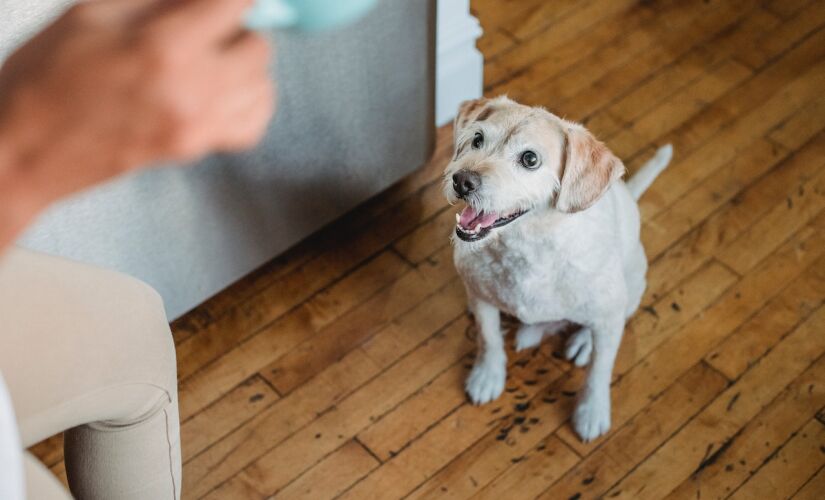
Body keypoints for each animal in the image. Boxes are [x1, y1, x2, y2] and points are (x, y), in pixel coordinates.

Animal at [444, 94, 668, 442]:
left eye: (530, 159)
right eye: (477, 139)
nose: (462, 180)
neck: (527, 247)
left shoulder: (607, 316)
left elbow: (600, 371)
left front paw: (591, 411)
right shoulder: (481, 298)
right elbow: (489, 337)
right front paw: (487, 376)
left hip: (629, 291)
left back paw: (583, 343)